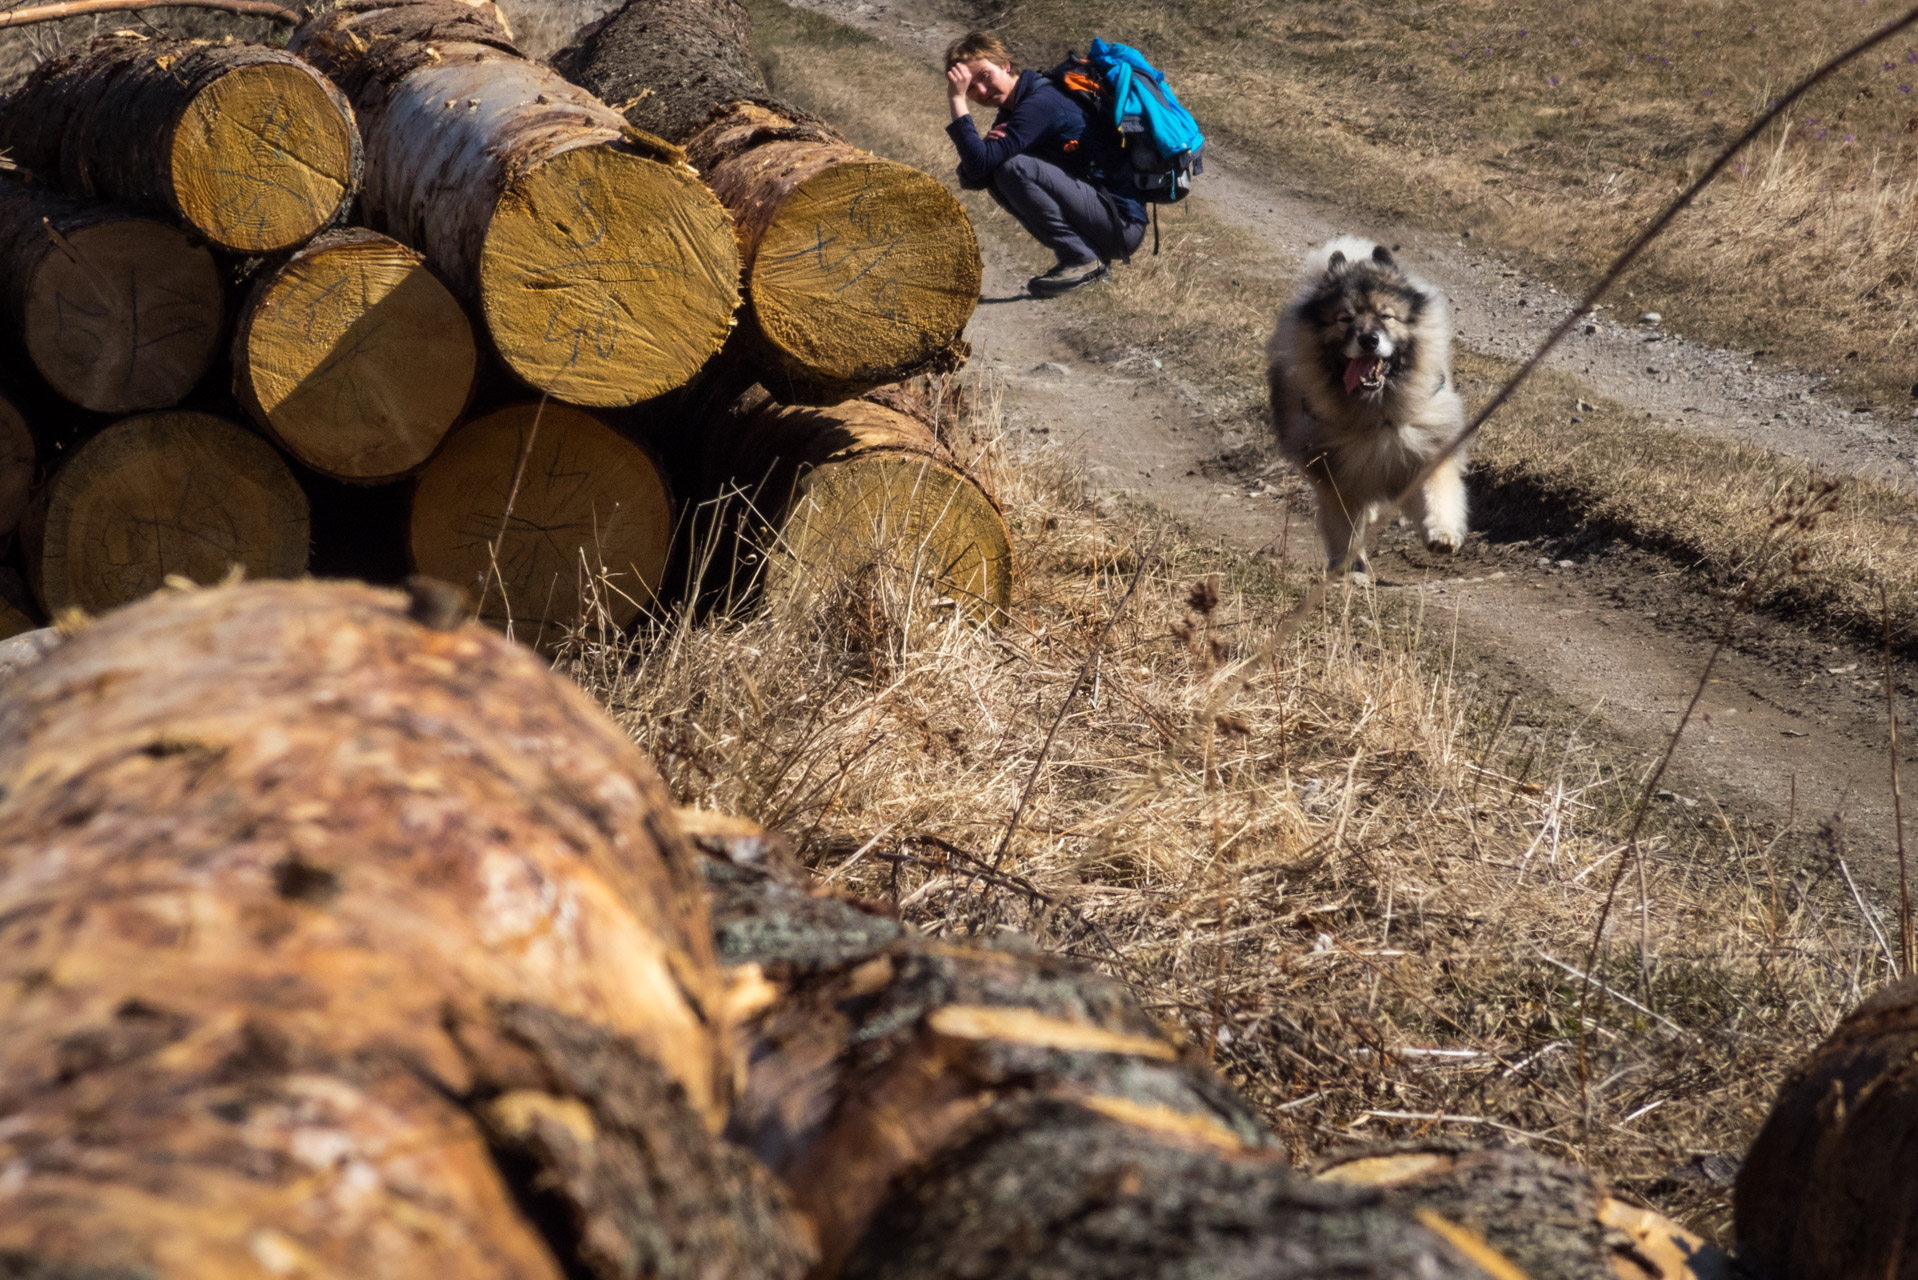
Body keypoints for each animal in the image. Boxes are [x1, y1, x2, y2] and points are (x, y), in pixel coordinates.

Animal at [1273, 237, 1465, 579]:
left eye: (1386, 316)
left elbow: (1437, 494)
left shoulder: (1427, 448)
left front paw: (1442, 534)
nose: (1369, 340)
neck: (1378, 414)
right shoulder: (1338, 475)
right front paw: (1351, 567)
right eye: (1345, 318)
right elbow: (1345, 528)